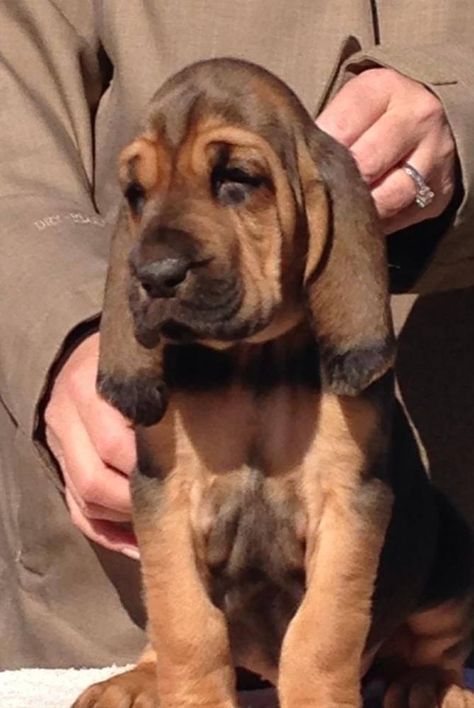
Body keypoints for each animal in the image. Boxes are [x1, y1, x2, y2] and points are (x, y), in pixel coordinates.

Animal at [74, 60, 474, 708]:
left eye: (237, 179)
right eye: (136, 194)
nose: (154, 276)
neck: (252, 361)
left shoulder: (348, 499)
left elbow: (321, 633)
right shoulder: (163, 498)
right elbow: (185, 624)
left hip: (450, 566)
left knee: (434, 643)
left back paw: (426, 683)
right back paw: (136, 680)